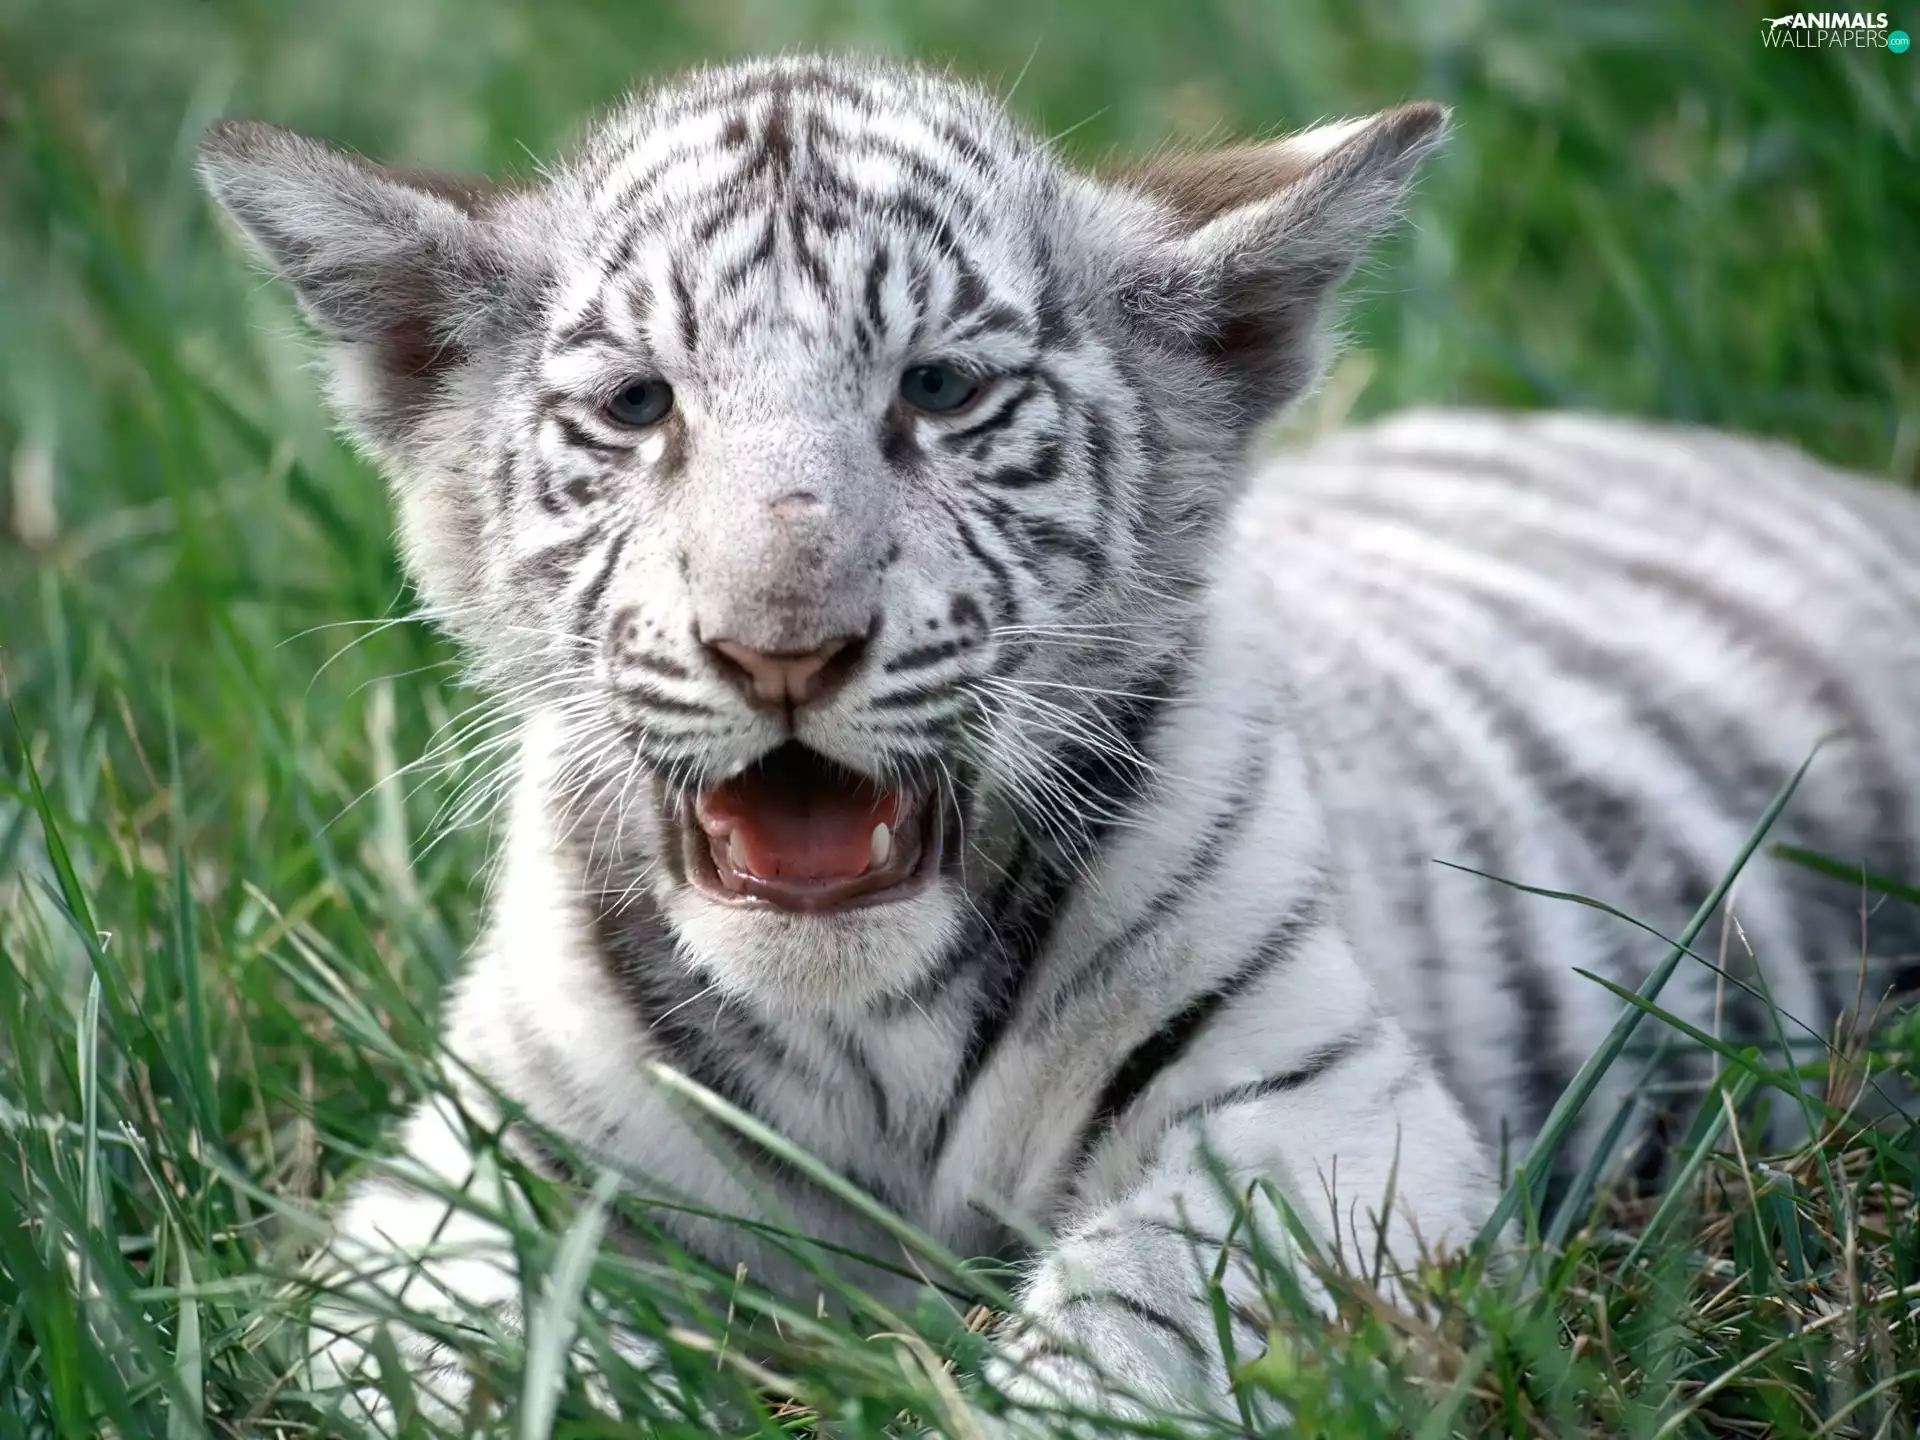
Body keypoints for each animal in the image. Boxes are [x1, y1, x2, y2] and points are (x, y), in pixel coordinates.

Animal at [196, 53, 1920, 1432]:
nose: (780, 646)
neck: (862, 1035)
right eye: (637, 408)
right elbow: (443, 1360)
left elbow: (1141, 1309)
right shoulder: (473, 1179)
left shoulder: (1324, 1117)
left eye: (941, 390)